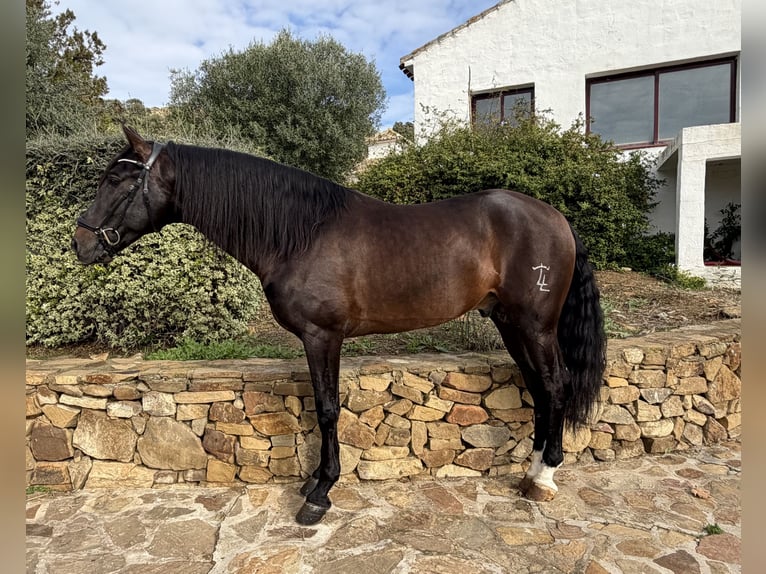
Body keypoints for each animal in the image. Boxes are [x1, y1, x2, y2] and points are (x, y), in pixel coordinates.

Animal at [72, 125, 606, 525]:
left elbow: (328, 410)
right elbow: (320, 407)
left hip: (536, 326)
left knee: (556, 385)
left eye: (117, 180)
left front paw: (320, 492)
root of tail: (556, 217)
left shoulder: (322, 336)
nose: (81, 243)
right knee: (539, 388)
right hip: (510, 324)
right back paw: (531, 472)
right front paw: (316, 481)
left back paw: (545, 477)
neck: (300, 233)